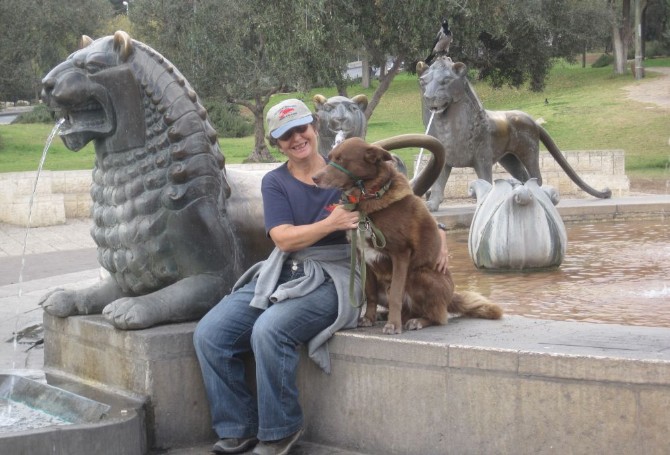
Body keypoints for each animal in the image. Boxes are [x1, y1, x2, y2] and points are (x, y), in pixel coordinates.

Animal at [312, 137, 502, 334]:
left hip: (419, 275)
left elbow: (396, 294)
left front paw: (393, 325)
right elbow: (369, 293)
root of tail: (450, 298)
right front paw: (368, 318)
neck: (369, 200)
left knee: (437, 316)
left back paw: (417, 321)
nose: (314, 178)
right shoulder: (362, 256)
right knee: (407, 311)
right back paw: (384, 315)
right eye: (330, 158)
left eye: (341, 159)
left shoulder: (400, 253)